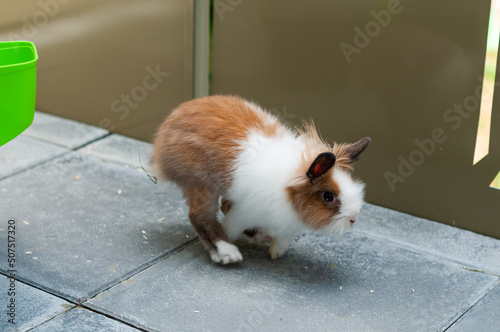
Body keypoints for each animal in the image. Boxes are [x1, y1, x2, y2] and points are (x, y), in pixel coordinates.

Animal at [150, 94, 370, 264]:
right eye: (328, 197)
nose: (353, 219)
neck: (289, 193)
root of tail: (167, 127)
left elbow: (282, 237)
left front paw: (276, 251)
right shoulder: (243, 212)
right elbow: (230, 225)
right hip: (201, 186)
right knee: (201, 218)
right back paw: (228, 253)